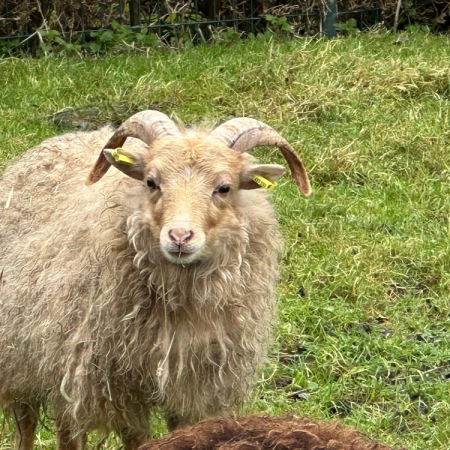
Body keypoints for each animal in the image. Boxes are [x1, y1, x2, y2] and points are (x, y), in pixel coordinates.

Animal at [0, 110, 311, 450]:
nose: (180, 237)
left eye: (224, 188)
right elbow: (136, 438)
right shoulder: (121, 389)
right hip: (29, 360)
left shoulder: (192, 386)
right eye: (151, 182)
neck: (180, 305)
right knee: (29, 424)